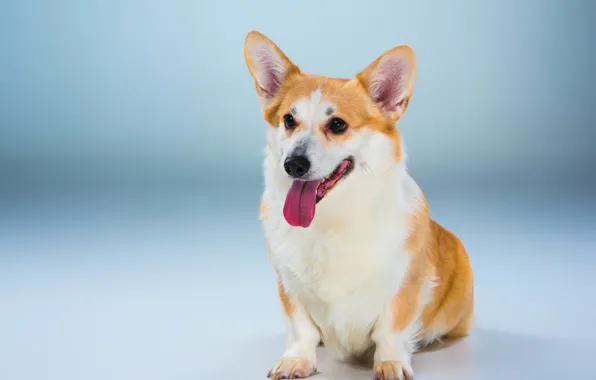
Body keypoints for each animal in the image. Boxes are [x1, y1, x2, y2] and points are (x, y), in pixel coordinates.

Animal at [243, 30, 474, 380]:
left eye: (338, 125)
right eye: (288, 120)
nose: (293, 164)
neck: (331, 217)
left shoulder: (404, 284)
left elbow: (391, 329)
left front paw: (391, 363)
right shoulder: (288, 284)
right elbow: (300, 328)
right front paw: (296, 360)